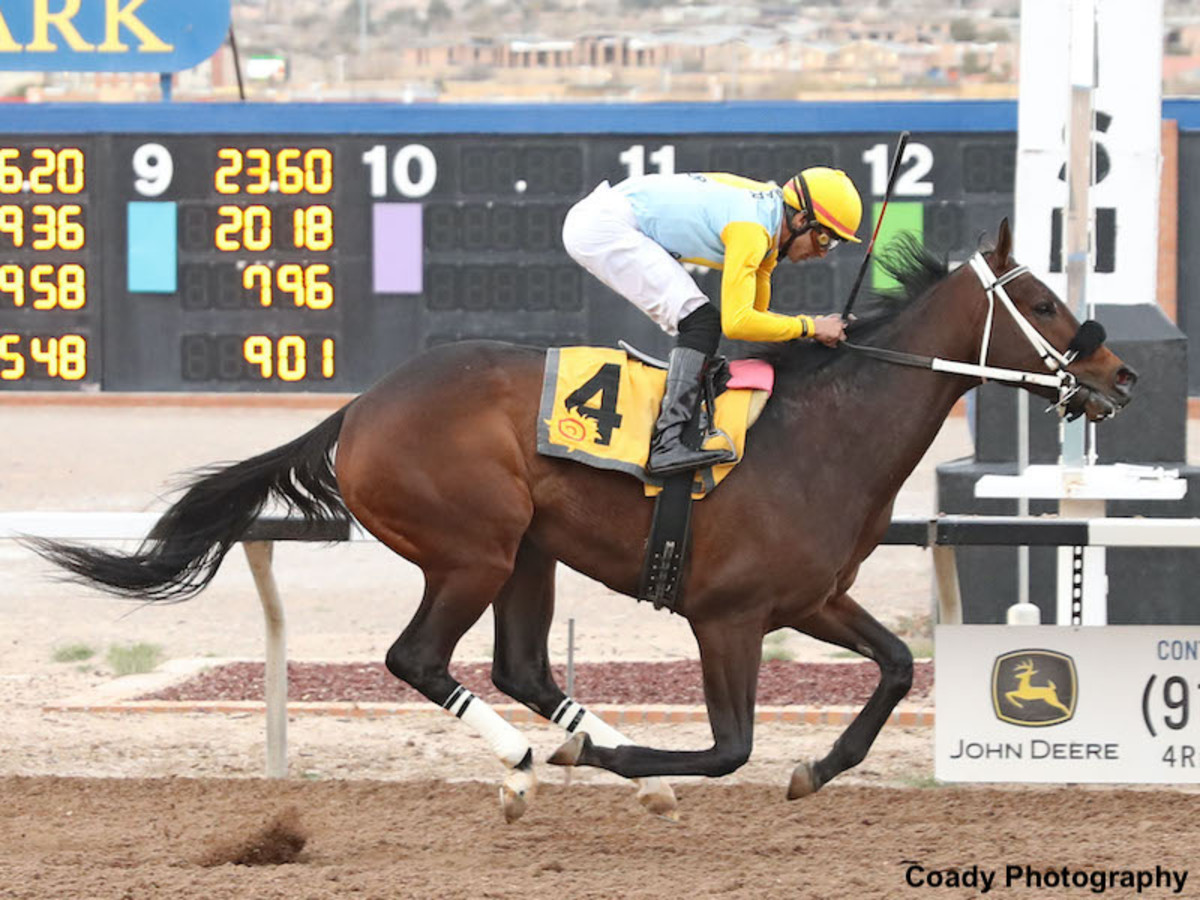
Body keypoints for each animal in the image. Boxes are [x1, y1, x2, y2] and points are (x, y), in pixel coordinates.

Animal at [28, 220, 1132, 825]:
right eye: (1038, 297)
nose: (1120, 376)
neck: (823, 432)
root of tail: (359, 410)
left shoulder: (810, 598)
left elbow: (899, 667)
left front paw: (815, 770)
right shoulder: (728, 615)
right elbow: (728, 748)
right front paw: (605, 763)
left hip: (528, 552)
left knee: (522, 666)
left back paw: (577, 761)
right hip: (471, 549)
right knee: (420, 659)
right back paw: (530, 761)